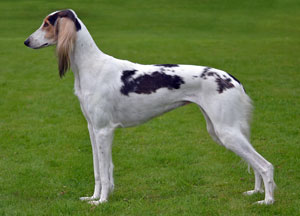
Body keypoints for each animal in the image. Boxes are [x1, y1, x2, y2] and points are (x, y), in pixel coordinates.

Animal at [24, 9, 276, 206]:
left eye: (47, 23)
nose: (26, 42)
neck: (90, 66)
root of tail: (232, 78)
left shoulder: (104, 130)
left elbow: (105, 172)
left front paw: (102, 201)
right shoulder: (93, 129)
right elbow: (98, 170)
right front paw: (93, 197)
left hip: (227, 132)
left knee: (265, 166)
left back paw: (267, 201)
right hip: (221, 131)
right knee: (254, 163)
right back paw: (256, 192)